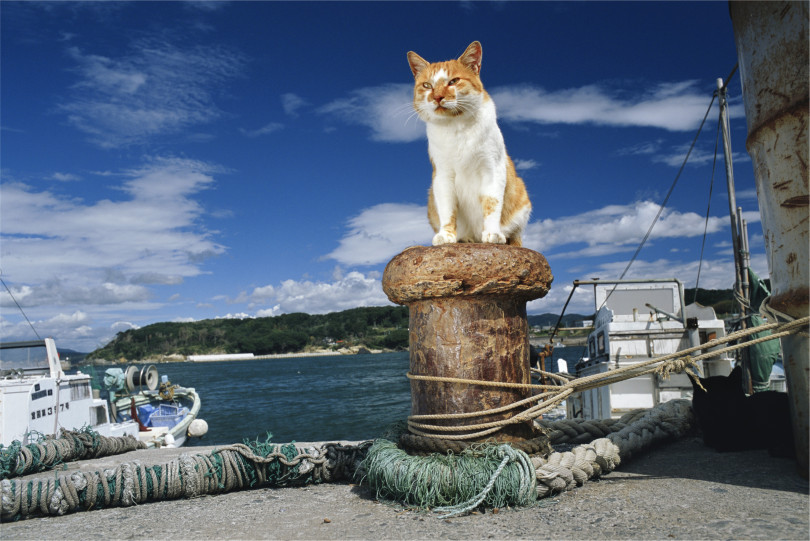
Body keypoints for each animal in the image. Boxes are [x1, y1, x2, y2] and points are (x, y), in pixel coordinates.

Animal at [404, 42, 532, 247]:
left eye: (453, 81)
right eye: (427, 85)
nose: (437, 97)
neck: (456, 127)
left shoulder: (492, 169)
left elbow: (492, 203)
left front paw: (492, 233)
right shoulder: (442, 175)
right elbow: (447, 209)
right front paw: (446, 235)